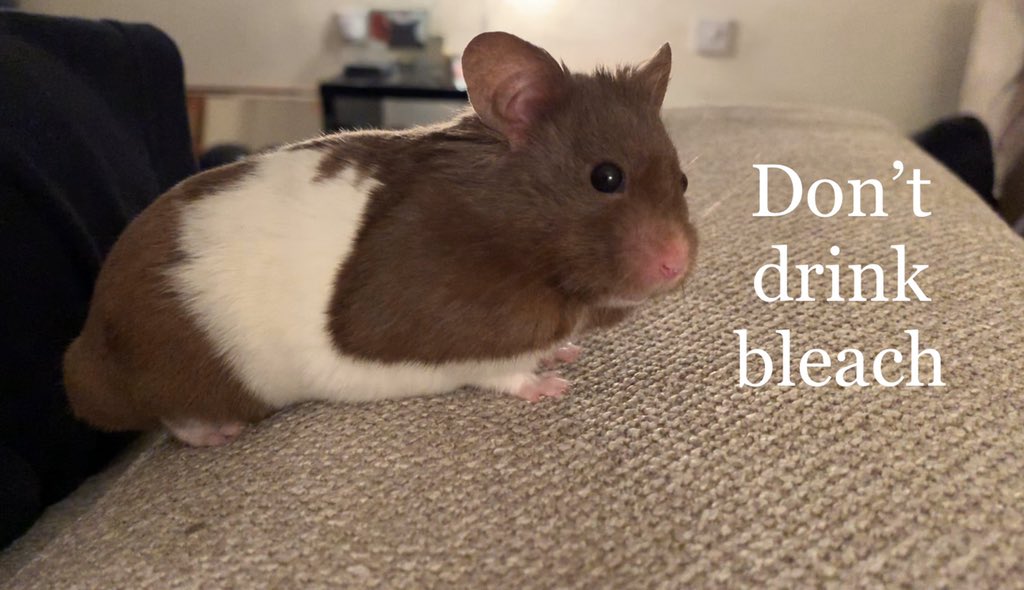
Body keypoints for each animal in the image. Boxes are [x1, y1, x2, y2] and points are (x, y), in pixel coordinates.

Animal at [62, 32, 697, 447]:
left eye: (684, 181)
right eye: (606, 177)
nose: (677, 264)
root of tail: (87, 347)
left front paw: (564, 352)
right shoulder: (456, 333)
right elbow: (502, 370)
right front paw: (551, 385)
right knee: (175, 416)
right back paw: (219, 433)